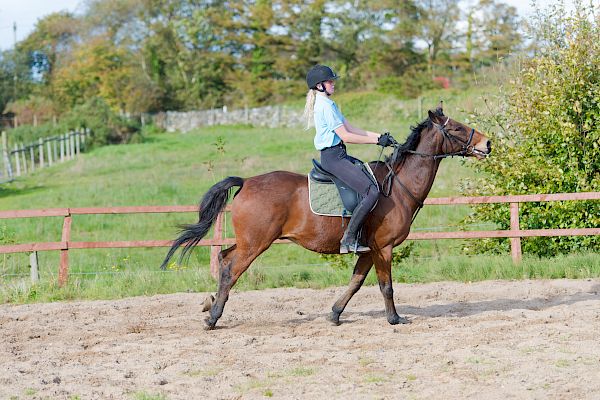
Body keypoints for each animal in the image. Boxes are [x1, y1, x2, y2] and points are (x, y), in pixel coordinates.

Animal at [161, 104, 492, 330]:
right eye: (457, 128)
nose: (487, 144)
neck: (398, 187)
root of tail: (247, 182)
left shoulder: (368, 250)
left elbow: (356, 282)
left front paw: (335, 313)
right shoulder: (383, 248)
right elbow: (386, 285)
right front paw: (394, 318)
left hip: (248, 241)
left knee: (224, 257)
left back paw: (209, 303)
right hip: (256, 243)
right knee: (231, 269)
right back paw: (213, 317)